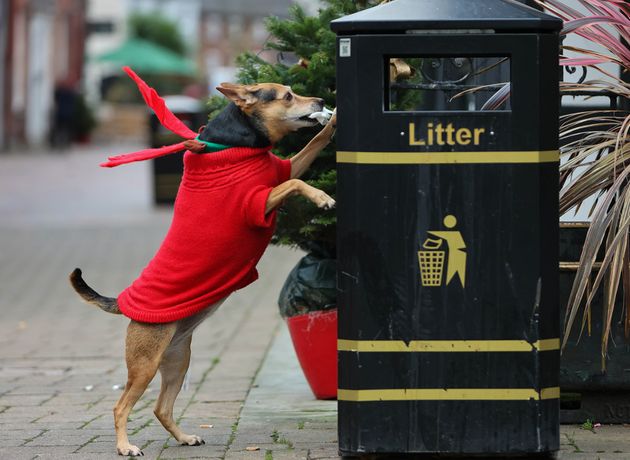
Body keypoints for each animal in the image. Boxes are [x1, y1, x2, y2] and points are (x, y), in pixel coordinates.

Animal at [69, 79, 338, 456]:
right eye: (287, 97)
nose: (320, 100)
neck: (234, 144)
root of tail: (122, 301)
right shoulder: (257, 201)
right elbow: (294, 184)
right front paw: (322, 197)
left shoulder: (285, 167)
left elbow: (313, 145)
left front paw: (333, 122)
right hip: (144, 364)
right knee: (121, 406)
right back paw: (125, 446)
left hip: (177, 358)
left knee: (161, 407)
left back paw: (184, 437)